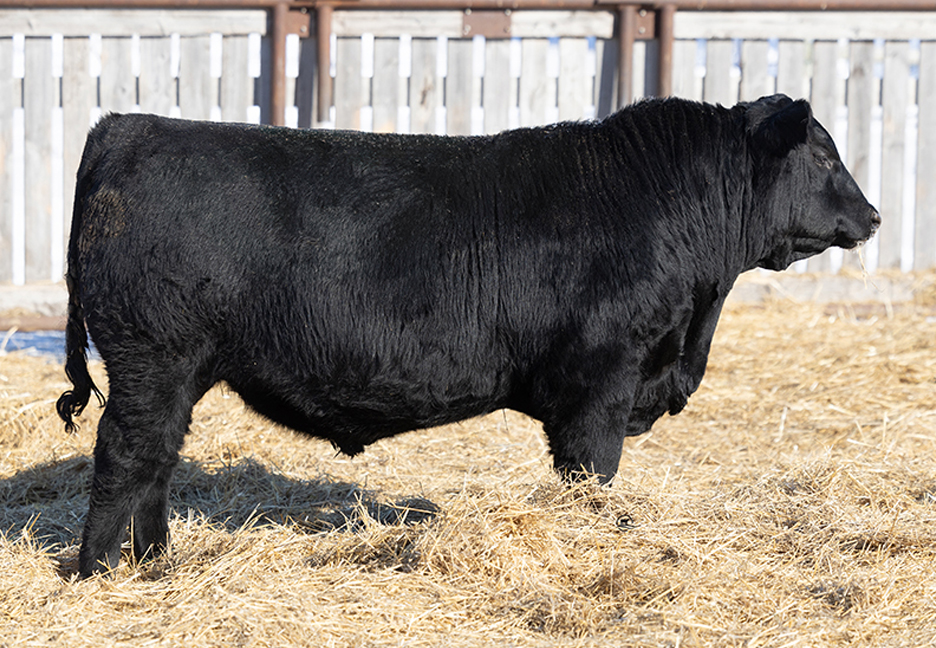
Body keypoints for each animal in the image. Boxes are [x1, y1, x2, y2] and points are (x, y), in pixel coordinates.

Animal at [57, 94, 879, 577]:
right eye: (825, 153)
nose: (872, 216)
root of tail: (124, 127)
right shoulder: (600, 385)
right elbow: (591, 476)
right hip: (152, 355)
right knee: (126, 454)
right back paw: (96, 570)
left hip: (180, 368)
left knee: (159, 459)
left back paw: (159, 563)